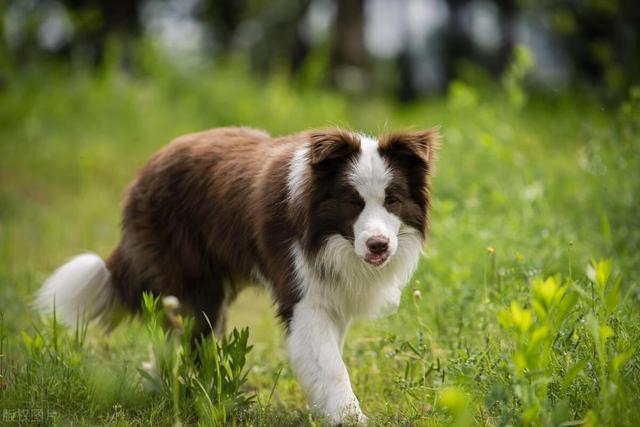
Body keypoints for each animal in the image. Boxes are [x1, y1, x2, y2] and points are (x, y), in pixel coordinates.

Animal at [36, 125, 440, 422]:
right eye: (352, 202)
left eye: (392, 200)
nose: (378, 246)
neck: (327, 236)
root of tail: (147, 168)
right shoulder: (302, 295)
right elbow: (330, 365)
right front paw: (349, 417)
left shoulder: (331, 294)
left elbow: (327, 358)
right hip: (193, 284)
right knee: (188, 337)